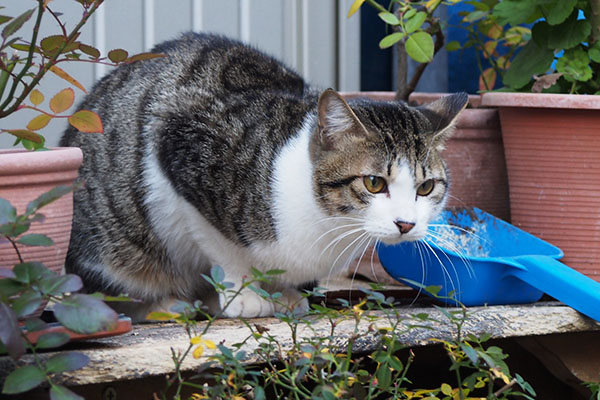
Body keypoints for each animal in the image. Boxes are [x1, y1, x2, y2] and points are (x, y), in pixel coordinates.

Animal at [61, 31, 472, 320]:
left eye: (426, 187)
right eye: (374, 183)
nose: (406, 224)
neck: (328, 226)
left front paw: (282, 294)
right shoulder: (176, 148)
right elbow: (220, 245)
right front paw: (243, 294)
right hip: (109, 246)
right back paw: (167, 305)